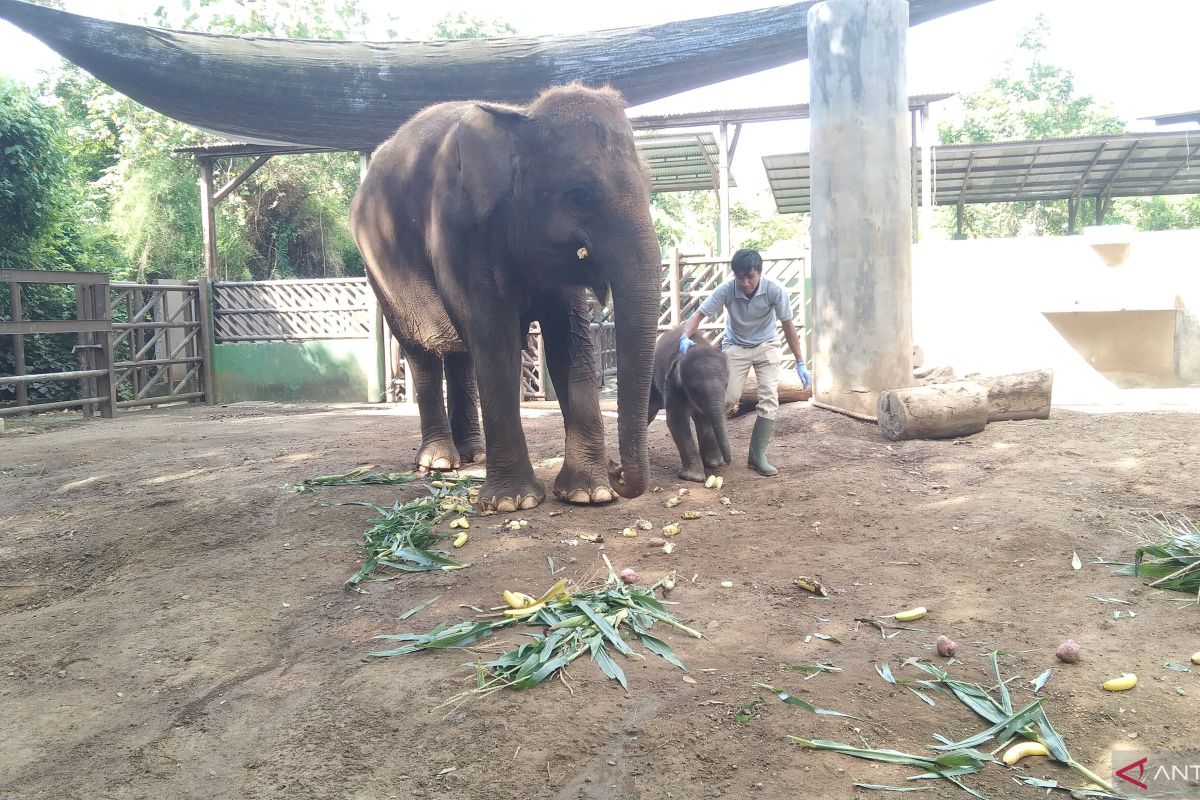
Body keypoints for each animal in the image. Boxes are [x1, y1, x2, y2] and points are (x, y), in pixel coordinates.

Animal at [350, 82, 662, 513]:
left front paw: (589, 494)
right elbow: (495, 340)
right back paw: (439, 462)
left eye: (650, 186)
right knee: (420, 353)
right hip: (379, 269)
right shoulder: (460, 230)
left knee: (460, 355)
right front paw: (513, 503)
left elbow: (570, 343)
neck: (521, 119)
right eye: (581, 195)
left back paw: (473, 454)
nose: (618, 472)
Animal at [652, 326, 734, 482]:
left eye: (727, 385)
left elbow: (706, 420)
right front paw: (693, 477)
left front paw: (713, 464)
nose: (728, 462)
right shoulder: (673, 385)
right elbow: (676, 421)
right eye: (693, 390)